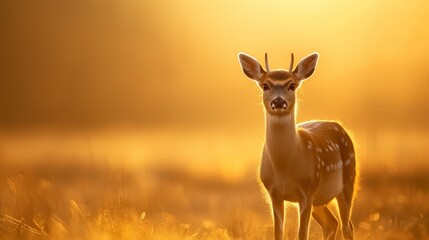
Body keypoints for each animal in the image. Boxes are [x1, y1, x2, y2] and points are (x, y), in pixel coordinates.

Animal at [237, 51, 358, 239]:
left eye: (292, 85)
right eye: (265, 85)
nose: (279, 102)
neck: (284, 169)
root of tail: (340, 127)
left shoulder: (308, 189)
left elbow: (302, 233)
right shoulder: (273, 192)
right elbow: (278, 232)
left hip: (348, 180)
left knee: (347, 226)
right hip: (320, 201)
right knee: (331, 223)